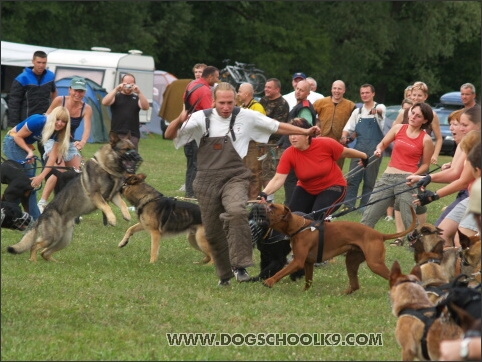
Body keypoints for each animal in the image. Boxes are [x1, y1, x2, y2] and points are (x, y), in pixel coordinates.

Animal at [6, 132, 141, 260]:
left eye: (134, 148)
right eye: (126, 149)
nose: (138, 157)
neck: (106, 168)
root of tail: (41, 217)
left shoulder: (114, 195)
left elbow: (122, 203)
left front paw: (126, 215)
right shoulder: (95, 194)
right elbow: (106, 207)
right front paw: (112, 219)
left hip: (64, 239)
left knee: (45, 252)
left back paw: (56, 262)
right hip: (51, 237)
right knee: (35, 246)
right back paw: (33, 261)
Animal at [252, 202, 418, 292]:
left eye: (272, 207)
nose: (257, 204)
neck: (299, 227)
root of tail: (379, 234)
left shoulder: (297, 262)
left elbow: (280, 272)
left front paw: (269, 282)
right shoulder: (308, 263)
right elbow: (308, 280)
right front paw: (305, 292)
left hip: (374, 263)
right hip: (351, 262)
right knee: (355, 285)